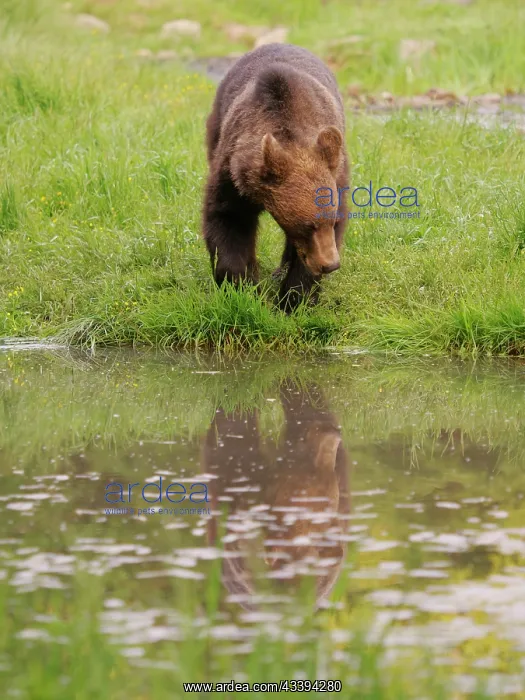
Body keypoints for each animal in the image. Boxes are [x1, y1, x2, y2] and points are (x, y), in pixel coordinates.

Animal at [203, 43, 349, 310]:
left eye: (332, 220)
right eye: (308, 225)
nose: (331, 264)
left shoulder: (336, 174)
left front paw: (294, 299)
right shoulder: (232, 174)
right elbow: (227, 218)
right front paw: (243, 289)